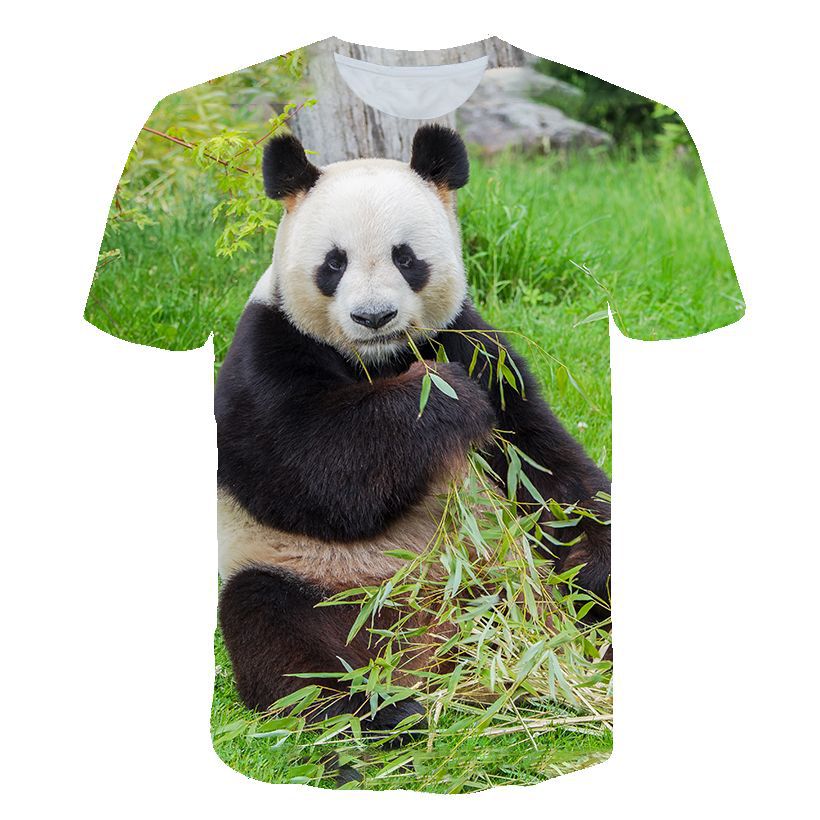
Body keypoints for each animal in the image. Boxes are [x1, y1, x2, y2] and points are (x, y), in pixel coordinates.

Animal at [215, 124, 611, 732]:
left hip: (489, 572)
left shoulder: (474, 344)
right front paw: (444, 397)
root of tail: (432, 650)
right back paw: (374, 710)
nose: (374, 317)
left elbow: (545, 464)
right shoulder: (267, 350)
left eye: (406, 258)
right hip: (305, 576)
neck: (380, 361)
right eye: (334, 263)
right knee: (276, 630)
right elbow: (309, 470)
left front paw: (593, 567)